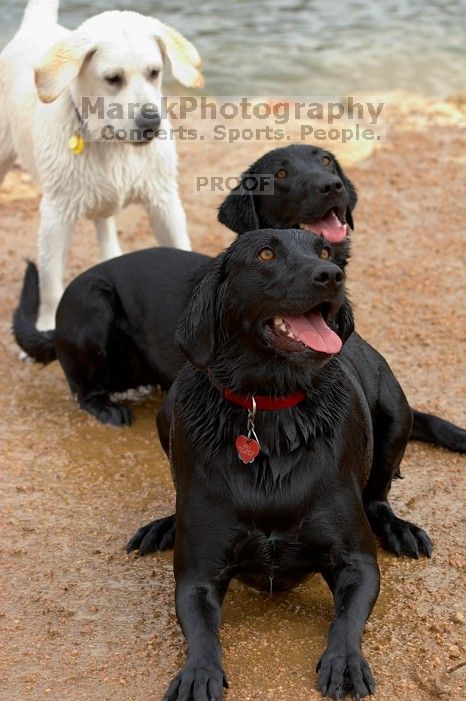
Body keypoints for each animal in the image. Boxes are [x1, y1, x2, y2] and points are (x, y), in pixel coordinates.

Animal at [0, 0, 204, 328]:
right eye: (113, 78)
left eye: (154, 72)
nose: (151, 123)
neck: (114, 144)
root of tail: (34, 26)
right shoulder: (56, 216)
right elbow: (51, 282)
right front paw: (46, 328)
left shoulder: (164, 203)